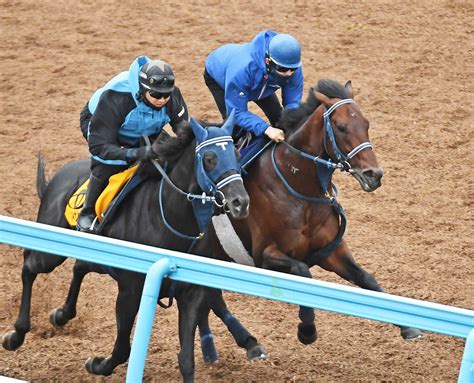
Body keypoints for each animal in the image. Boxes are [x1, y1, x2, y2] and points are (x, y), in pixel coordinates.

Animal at [2, 115, 262, 383]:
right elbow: (123, 349)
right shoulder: (130, 289)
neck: (168, 218)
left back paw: (62, 314)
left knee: (79, 267)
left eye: (236, 153)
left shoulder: (191, 294)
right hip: (51, 251)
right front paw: (97, 364)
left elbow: (186, 360)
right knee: (29, 266)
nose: (240, 202)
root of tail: (59, 176)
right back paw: (16, 335)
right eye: (210, 158)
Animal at [213, 79, 420, 344]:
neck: (295, 185)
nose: (374, 174)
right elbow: (303, 272)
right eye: (341, 127)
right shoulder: (263, 255)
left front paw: (408, 327)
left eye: (366, 124)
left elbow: (367, 278)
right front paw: (307, 329)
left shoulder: (330, 250)